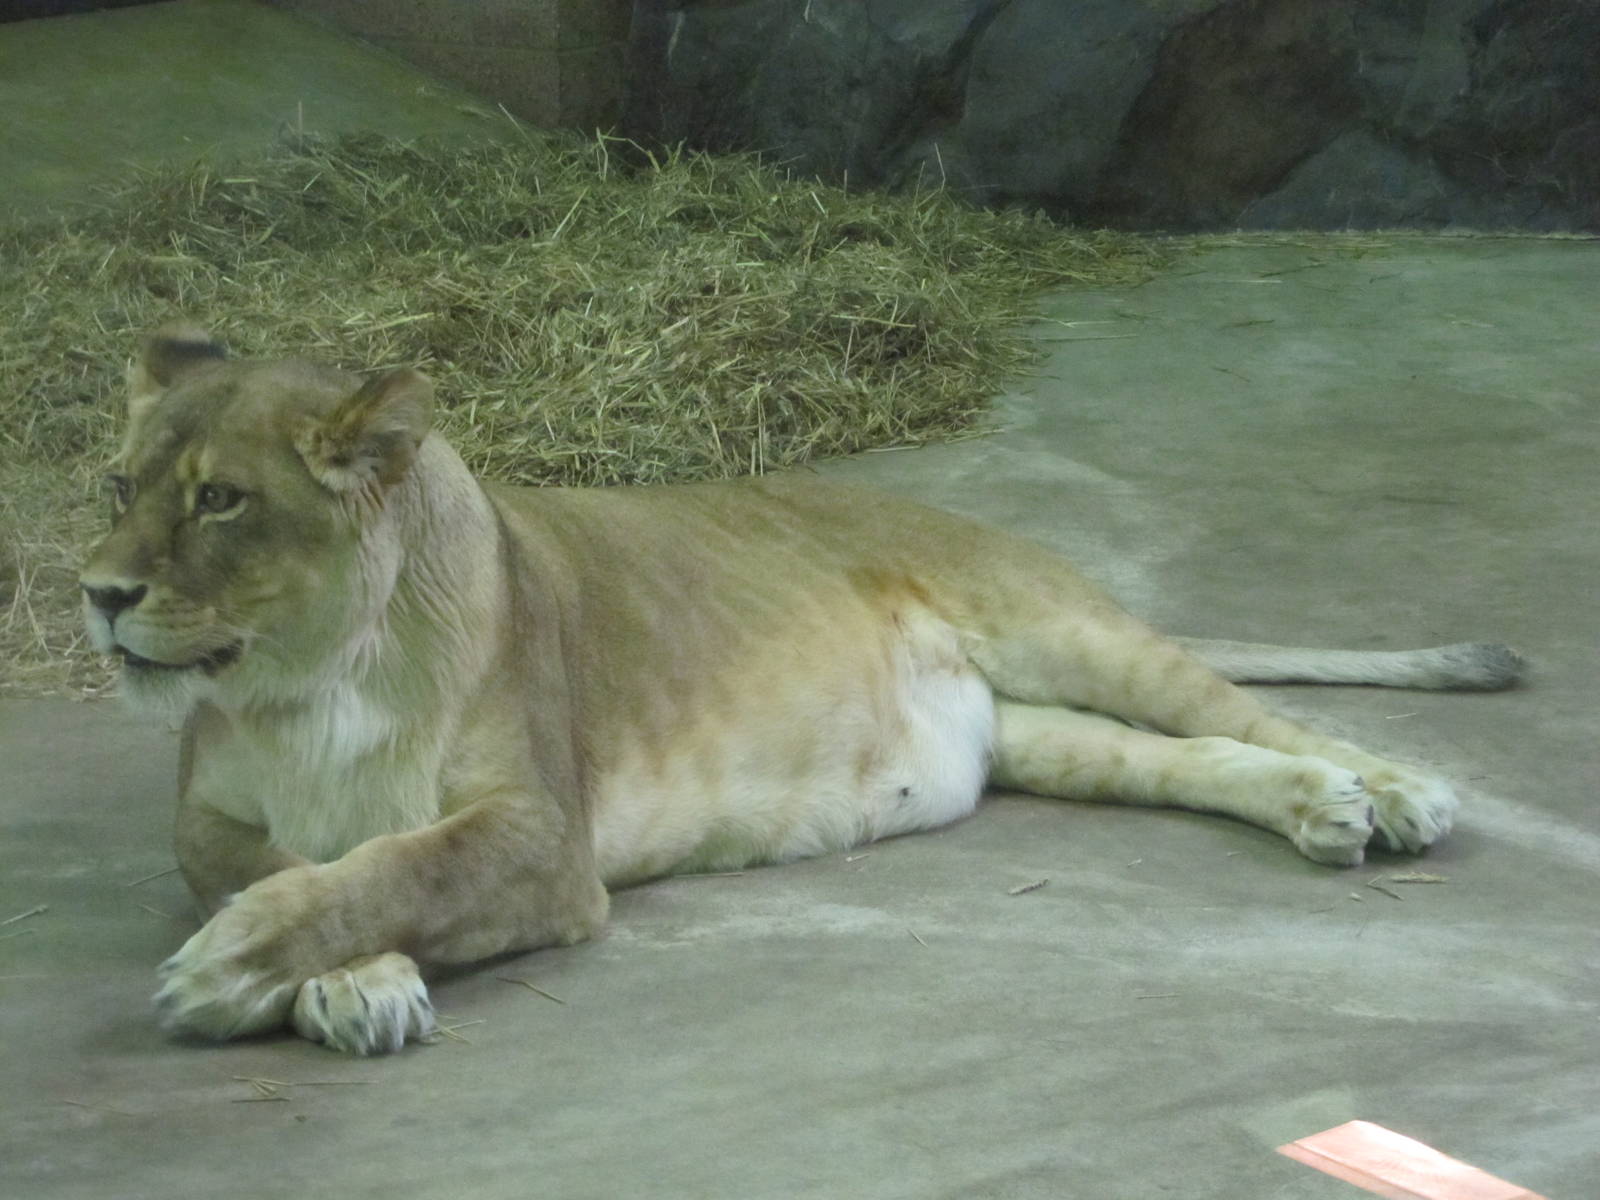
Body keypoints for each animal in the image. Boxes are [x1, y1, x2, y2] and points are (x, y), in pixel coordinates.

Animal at [78, 326, 1521, 1055]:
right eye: (119, 485)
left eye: (220, 501)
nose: (96, 592)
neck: (307, 681)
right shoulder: (204, 822)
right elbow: (305, 868)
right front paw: (349, 984)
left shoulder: (543, 836)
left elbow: (399, 866)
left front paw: (239, 967)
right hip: (1037, 737)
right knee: (1194, 758)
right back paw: (1323, 810)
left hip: (1060, 628)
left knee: (1246, 711)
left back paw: (1396, 794)